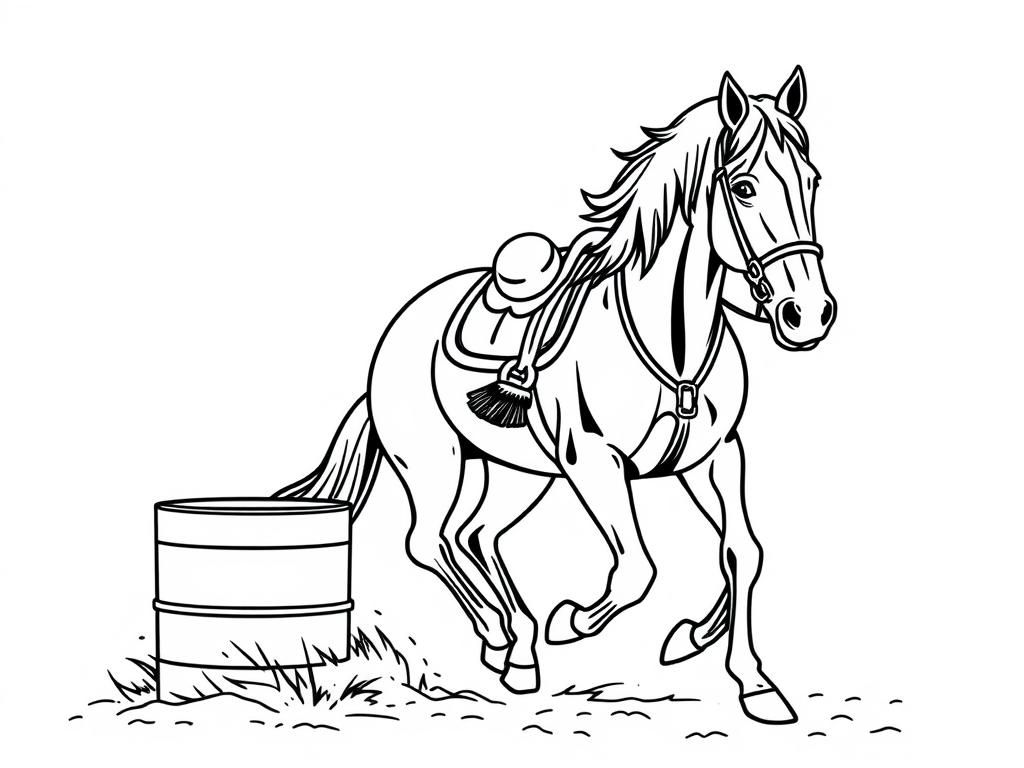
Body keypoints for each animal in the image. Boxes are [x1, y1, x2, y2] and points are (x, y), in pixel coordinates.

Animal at [276, 67, 836, 725]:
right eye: (744, 187)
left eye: (812, 182)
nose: (808, 314)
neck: (669, 342)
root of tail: (397, 330)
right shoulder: (594, 461)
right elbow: (638, 569)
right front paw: (572, 621)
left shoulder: (715, 457)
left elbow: (743, 553)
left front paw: (735, 669)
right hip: (433, 462)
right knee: (429, 541)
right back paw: (507, 636)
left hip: (516, 471)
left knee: (475, 535)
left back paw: (513, 646)